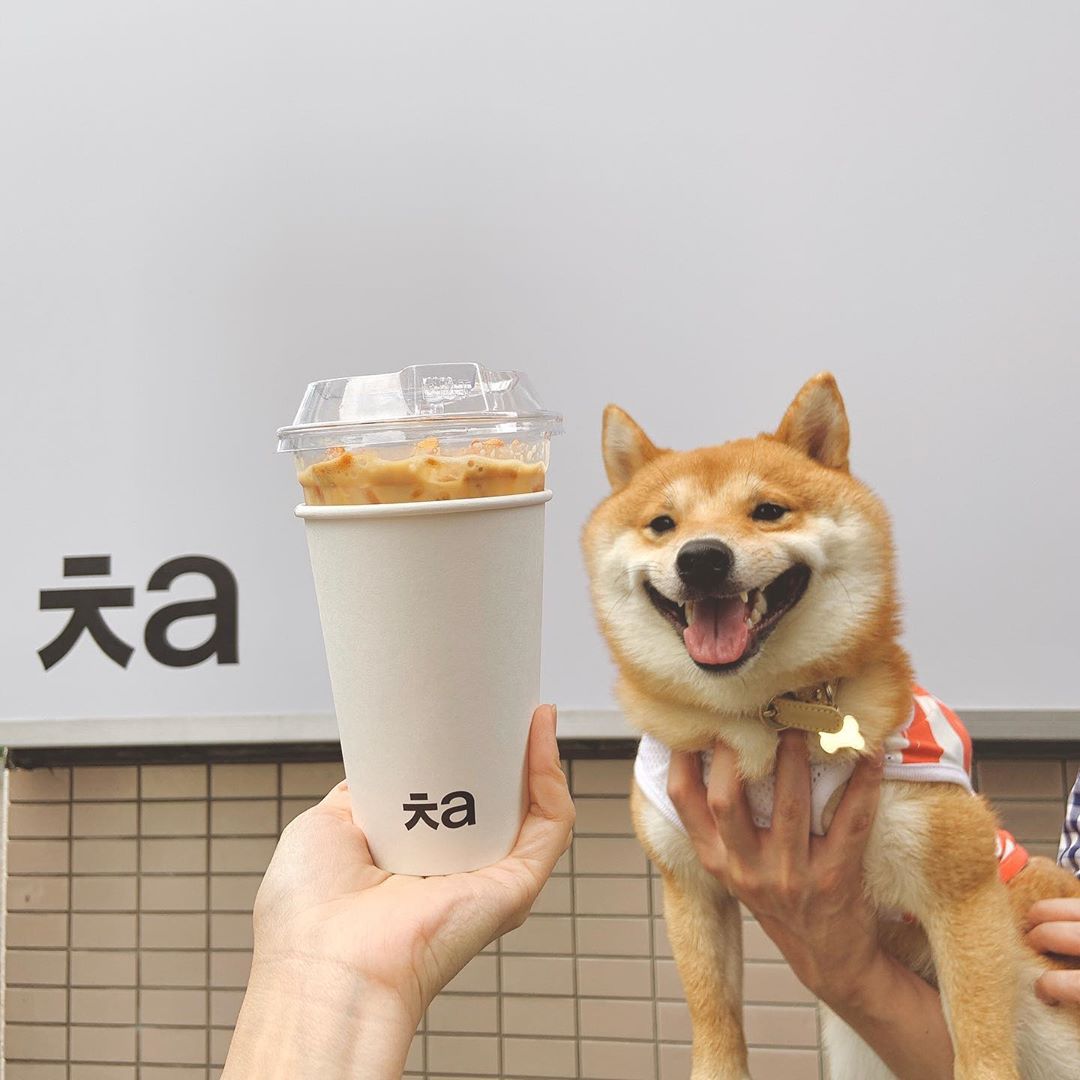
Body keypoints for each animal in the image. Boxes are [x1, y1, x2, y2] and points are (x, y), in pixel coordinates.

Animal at [587, 375, 1080, 1075]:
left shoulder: (960, 886)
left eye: (768, 511)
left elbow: (981, 1041)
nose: (701, 557)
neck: (761, 717)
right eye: (662, 524)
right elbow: (713, 1014)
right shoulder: (691, 886)